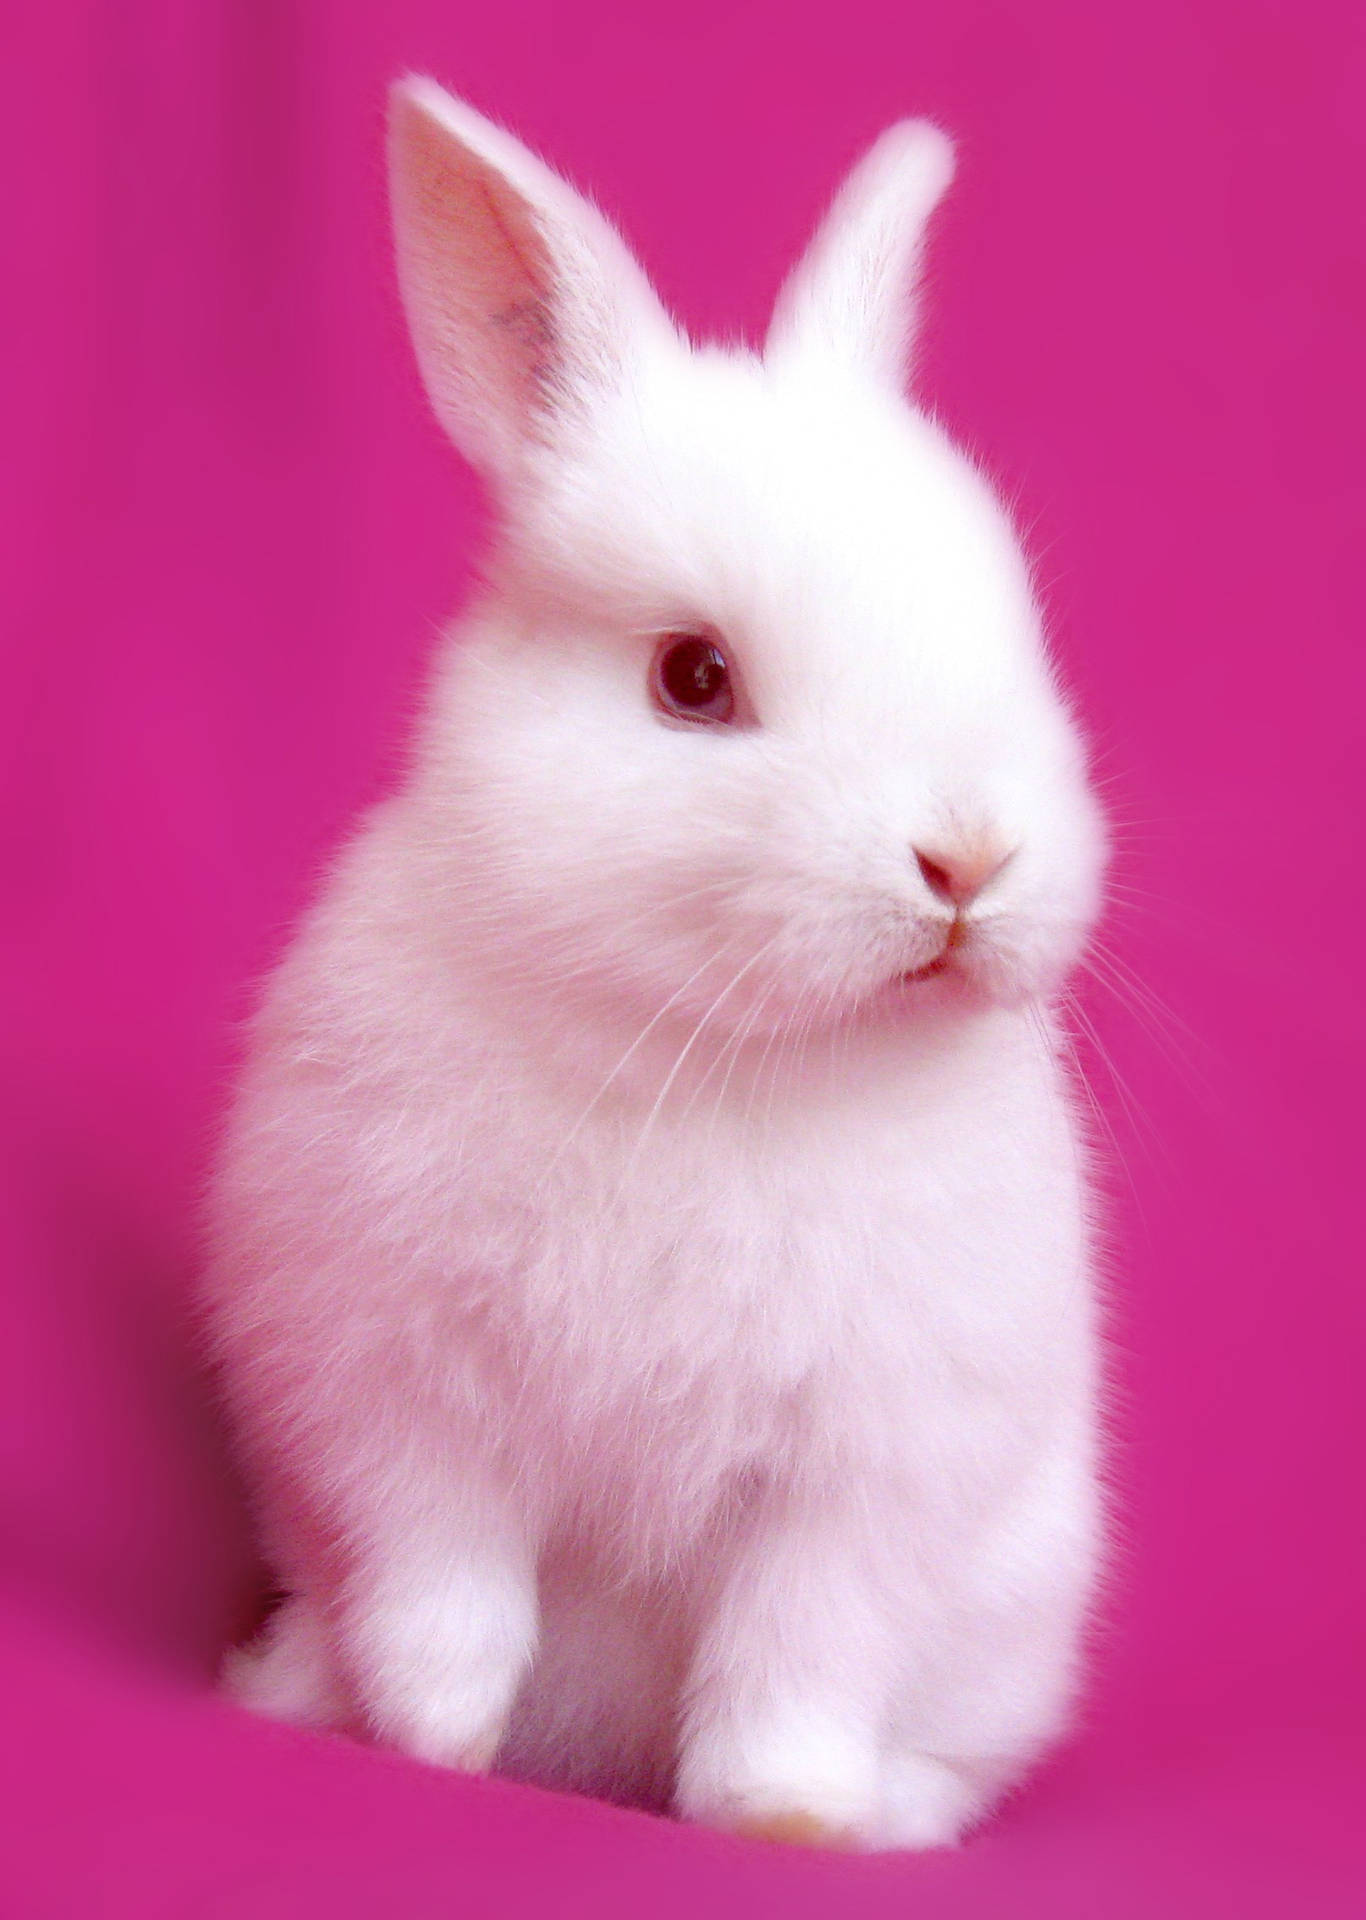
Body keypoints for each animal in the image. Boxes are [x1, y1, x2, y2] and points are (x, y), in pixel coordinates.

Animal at [211, 74, 1114, 1843]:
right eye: (692, 680)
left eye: (1016, 631)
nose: (966, 863)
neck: (718, 1049)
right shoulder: (391, 1388)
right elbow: (442, 1596)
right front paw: (431, 1746)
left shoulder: (862, 1480)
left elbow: (795, 1663)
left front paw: (782, 1823)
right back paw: (288, 1696)